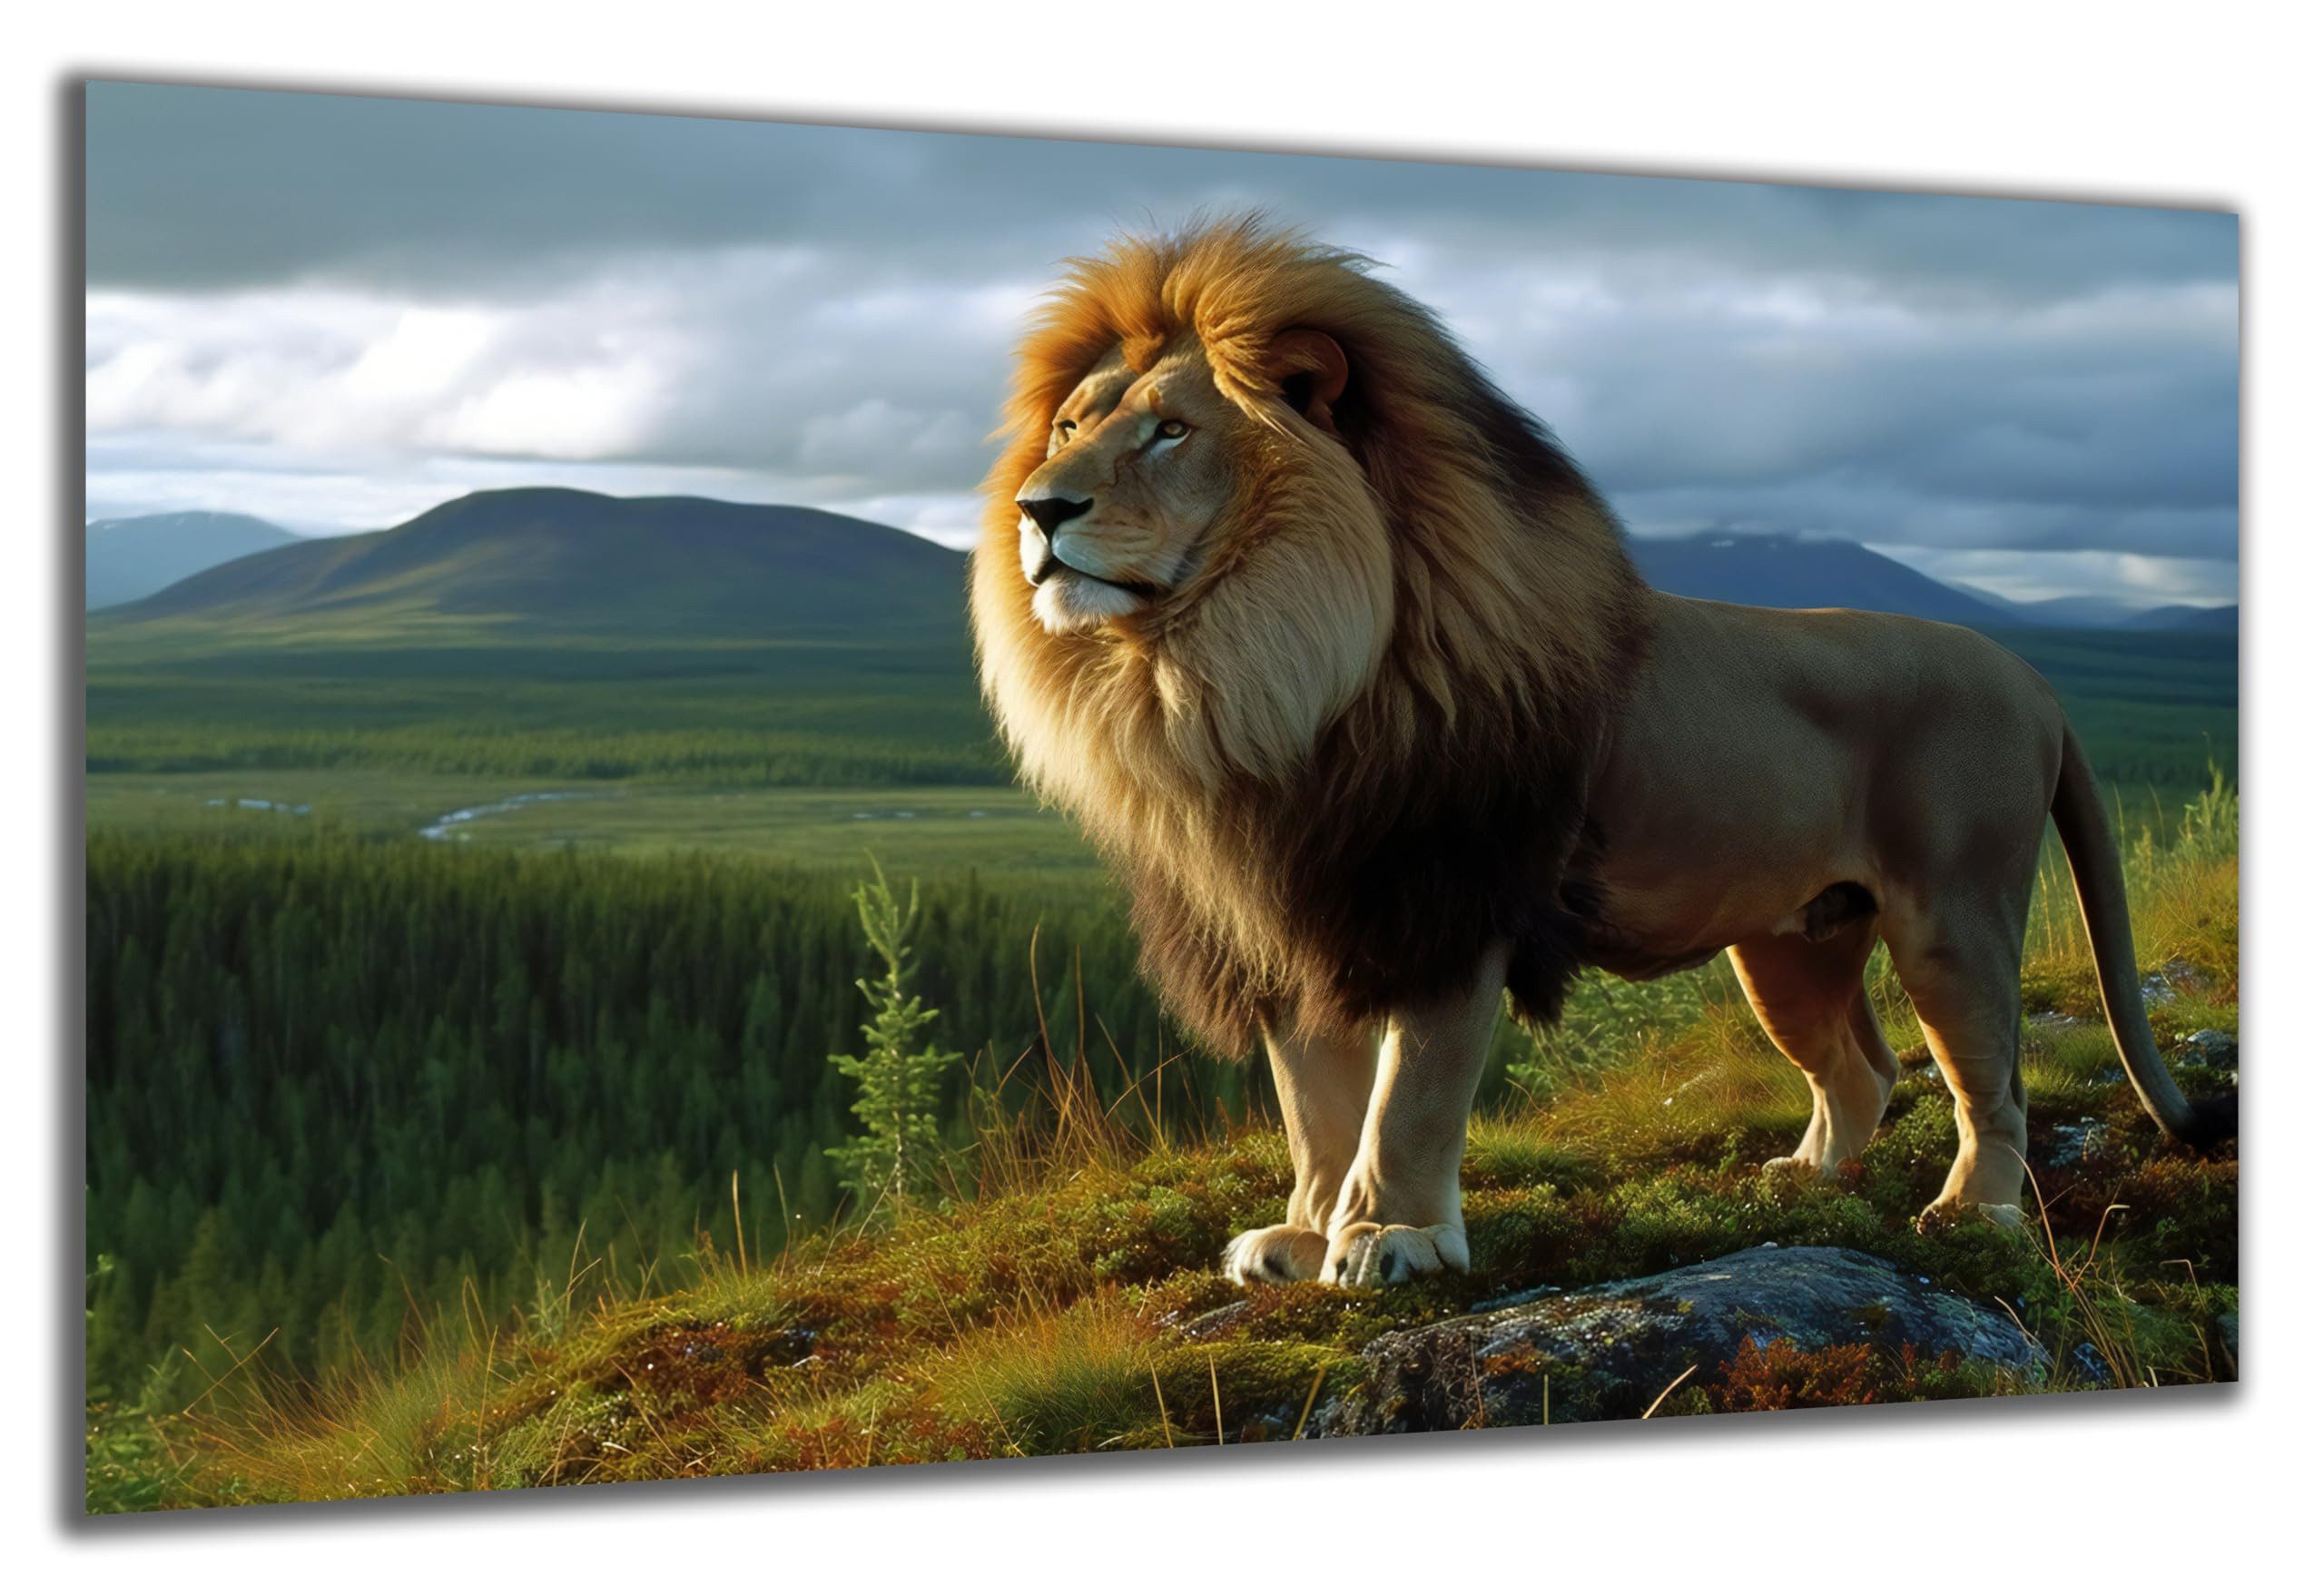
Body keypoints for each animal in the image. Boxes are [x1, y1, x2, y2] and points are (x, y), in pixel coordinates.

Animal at [969, 216, 2235, 1288]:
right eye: (1071, 426)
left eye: (1172, 429)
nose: (1038, 507)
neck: (1235, 677)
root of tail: (2032, 676)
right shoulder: (1292, 919)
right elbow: (1313, 1102)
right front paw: (1303, 1229)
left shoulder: (1450, 901)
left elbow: (1405, 1096)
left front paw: (1388, 1235)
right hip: (1791, 942)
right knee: (1862, 1069)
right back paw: (1805, 1181)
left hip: (1952, 917)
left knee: (1994, 1083)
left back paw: (1971, 1213)